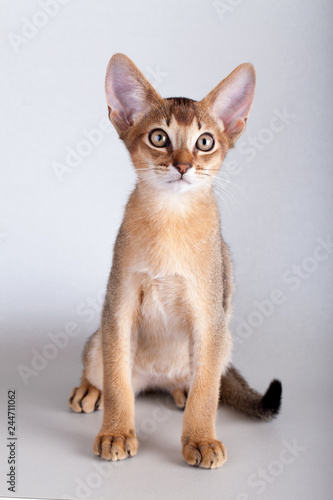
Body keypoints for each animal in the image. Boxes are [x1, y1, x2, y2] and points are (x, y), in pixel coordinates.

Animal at [68, 52, 282, 466]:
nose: (183, 166)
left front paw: (200, 439)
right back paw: (89, 390)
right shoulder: (117, 307)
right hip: (99, 341)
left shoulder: (210, 316)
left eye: (205, 142)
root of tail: (156, 379)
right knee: (101, 369)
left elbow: (207, 393)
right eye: (159, 137)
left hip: (223, 341)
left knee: (201, 382)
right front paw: (116, 432)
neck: (170, 219)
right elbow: (118, 383)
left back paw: (183, 392)